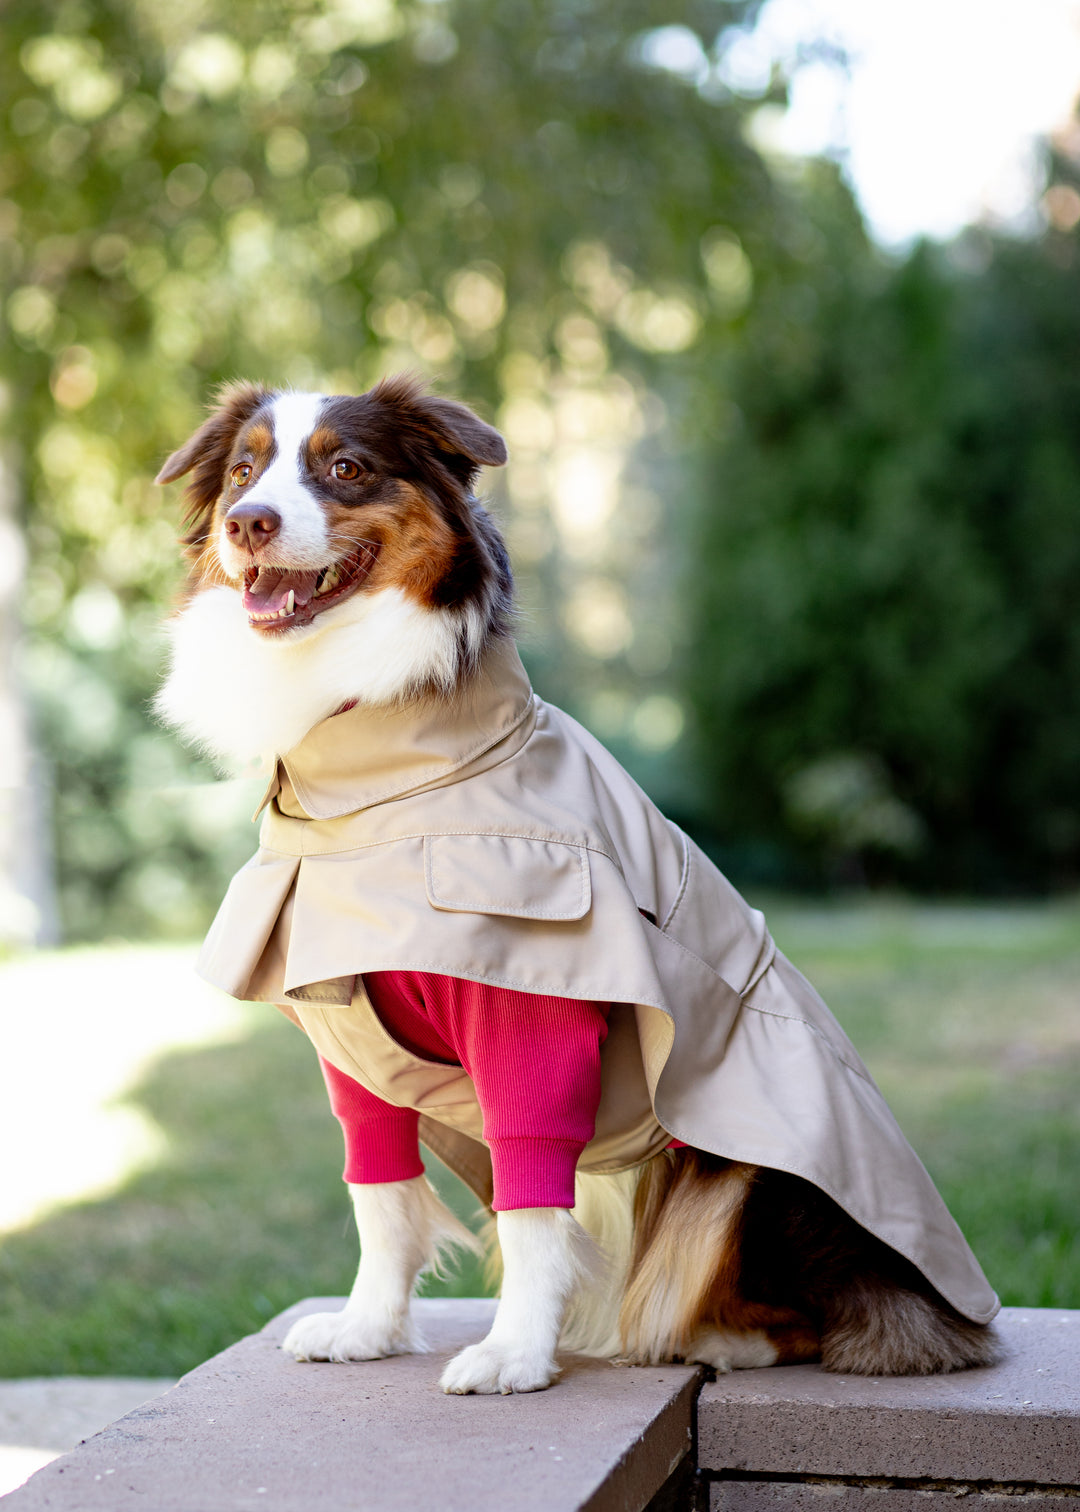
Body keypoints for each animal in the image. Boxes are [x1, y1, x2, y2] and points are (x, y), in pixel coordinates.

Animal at [151, 374, 992, 1391]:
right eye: (243, 471)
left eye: (345, 468)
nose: (248, 523)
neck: (381, 782)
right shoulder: (350, 1030)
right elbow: (380, 1193)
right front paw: (368, 1328)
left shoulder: (532, 1009)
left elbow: (530, 1199)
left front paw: (515, 1352)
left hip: (748, 1169)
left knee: (813, 1313)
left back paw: (711, 1337)